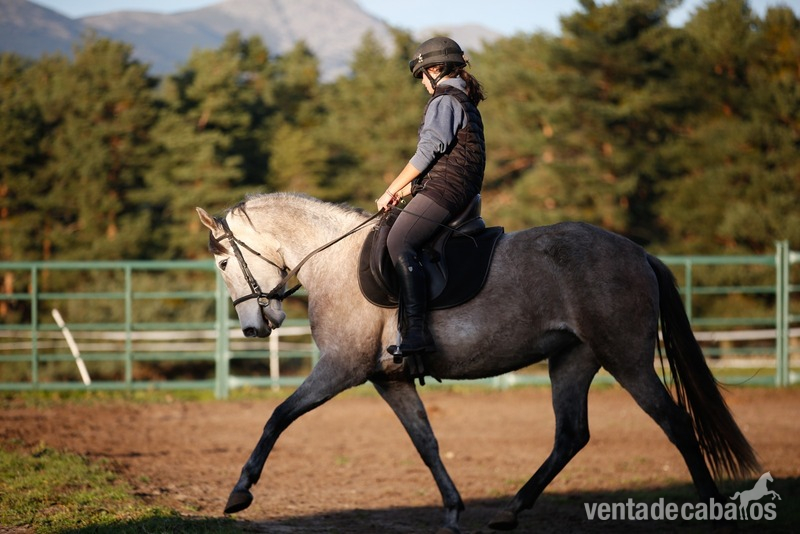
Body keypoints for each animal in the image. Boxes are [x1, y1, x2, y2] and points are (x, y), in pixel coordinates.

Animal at [196, 192, 759, 533]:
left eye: (223, 262)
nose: (255, 327)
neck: (333, 261)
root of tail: (639, 253)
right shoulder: (387, 379)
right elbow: (425, 442)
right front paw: (451, 510)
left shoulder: (340, 368)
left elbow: (278, 417)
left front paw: (239, 492)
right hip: (573, 360)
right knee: (571, 436)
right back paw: (510, 511)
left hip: (626, 359)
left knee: (675, 423)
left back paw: (712, 510)